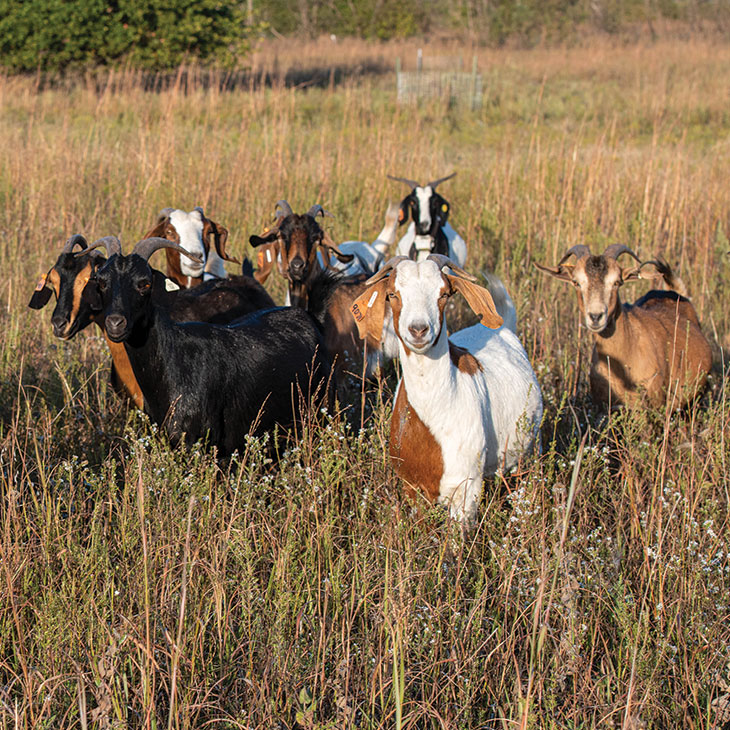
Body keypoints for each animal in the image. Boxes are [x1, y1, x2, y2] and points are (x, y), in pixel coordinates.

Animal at [346, 256, 540, 524]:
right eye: (393, 294)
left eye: (444, 294)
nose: (418, 329)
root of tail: (502, 327)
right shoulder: (412, 486)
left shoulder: (466, 489)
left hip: (529, 452)